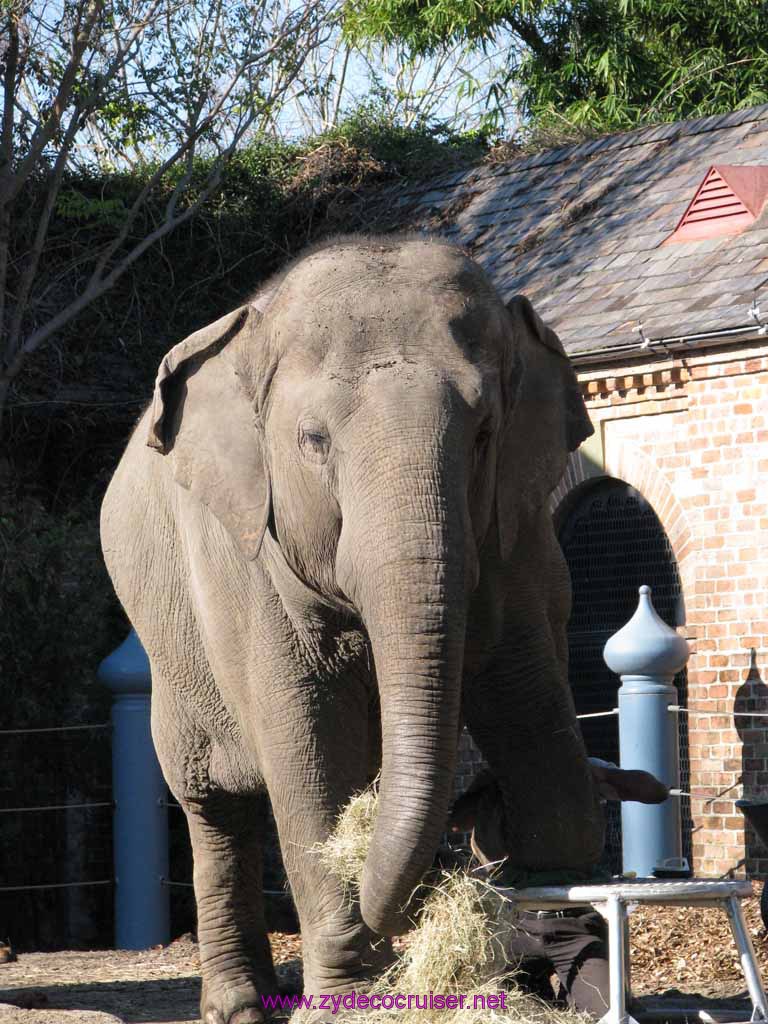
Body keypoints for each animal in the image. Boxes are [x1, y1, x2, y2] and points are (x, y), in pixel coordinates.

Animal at [102, 234, 606, 1024]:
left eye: (485, 433)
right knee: (212, 805)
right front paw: (346, 1000)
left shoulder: (515, 537)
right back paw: (242, 1006)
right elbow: (310, 751)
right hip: (168, 652)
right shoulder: (248, 563)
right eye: (313, 440)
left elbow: (533, 712)